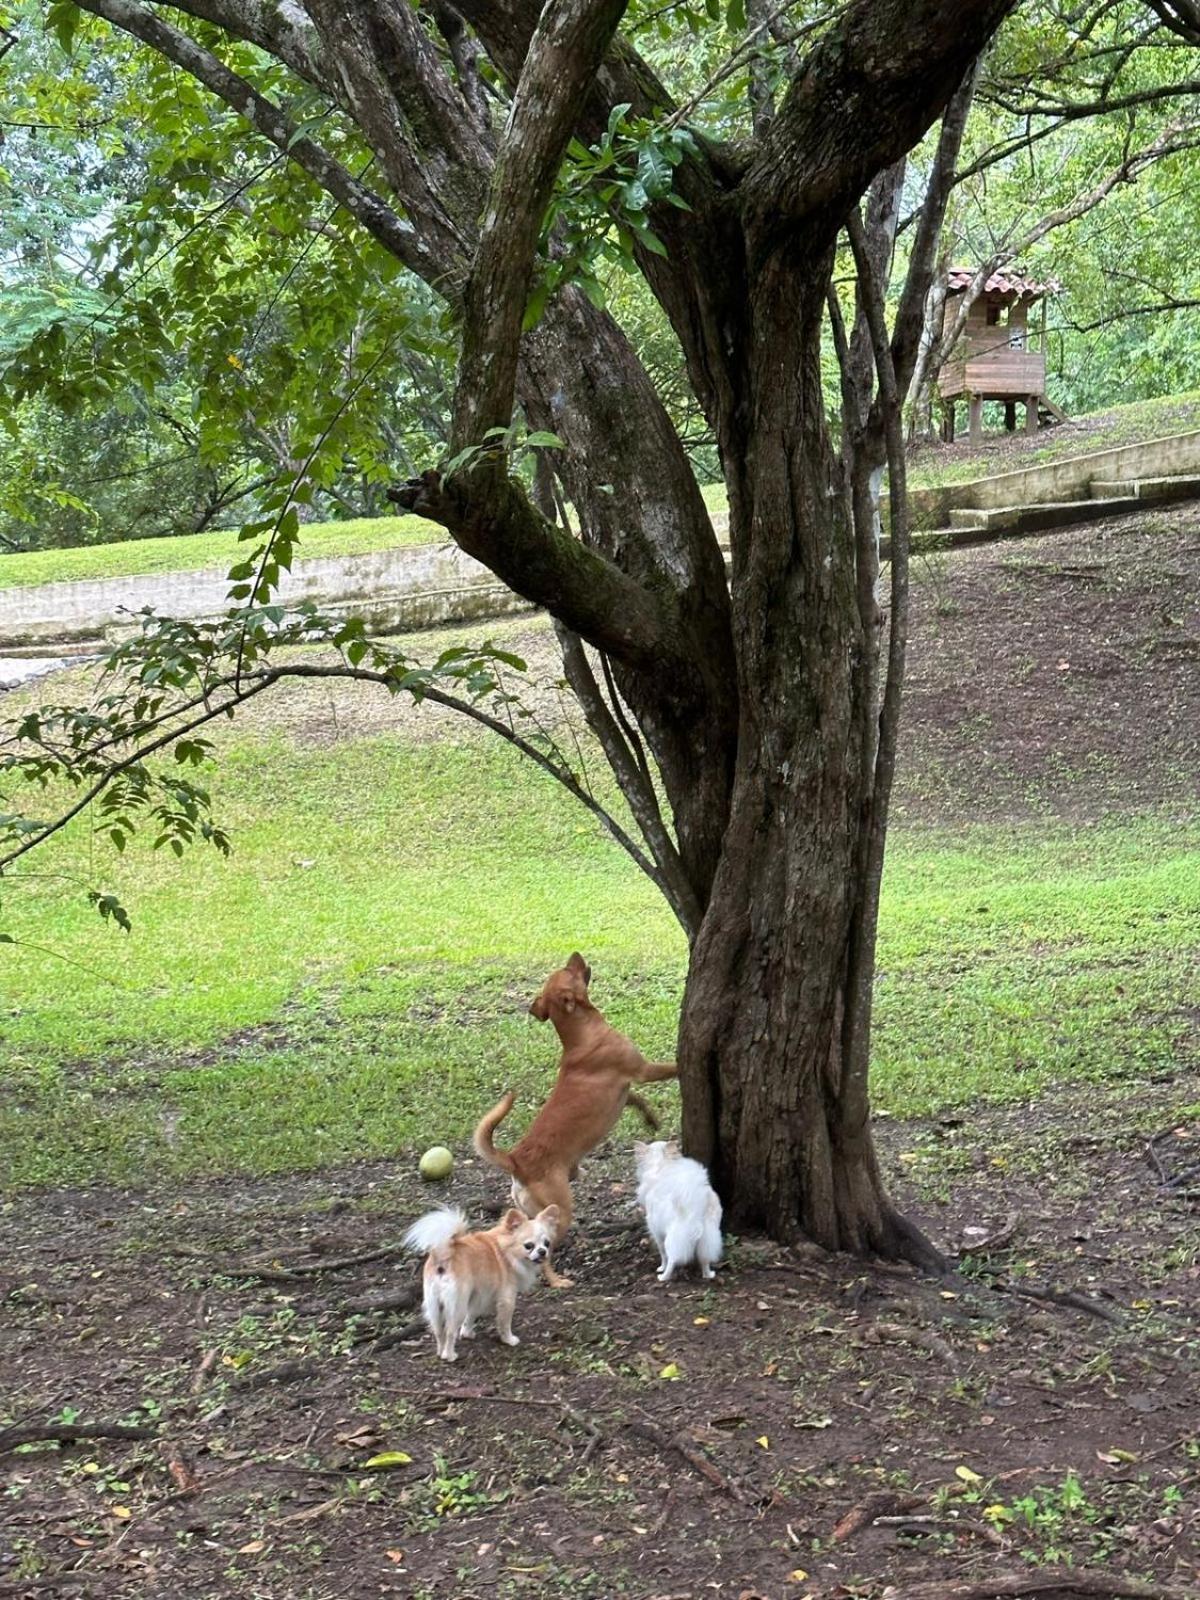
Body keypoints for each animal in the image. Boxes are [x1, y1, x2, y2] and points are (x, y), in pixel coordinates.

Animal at [473, 947, 678, 1286]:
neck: (581, 1035)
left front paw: (651, 1119)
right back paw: (557, 1281)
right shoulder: (643, 1070)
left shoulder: (625, 1091)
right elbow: (674, 1068)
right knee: (541, 1254)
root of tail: (516, 1162)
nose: (577, 953)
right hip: (560, 1214)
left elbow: (637, 1101)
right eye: (569, 970)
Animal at [640, 1145, 723, 1280]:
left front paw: (661, 1267)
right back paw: (708, 1274)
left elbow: (662, 1254)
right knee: (705, 1259)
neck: (662, 1167)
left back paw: (663, 1277)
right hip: (709, 1234)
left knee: (672, 1259)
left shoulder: (656, 1232)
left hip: (673, 1238)